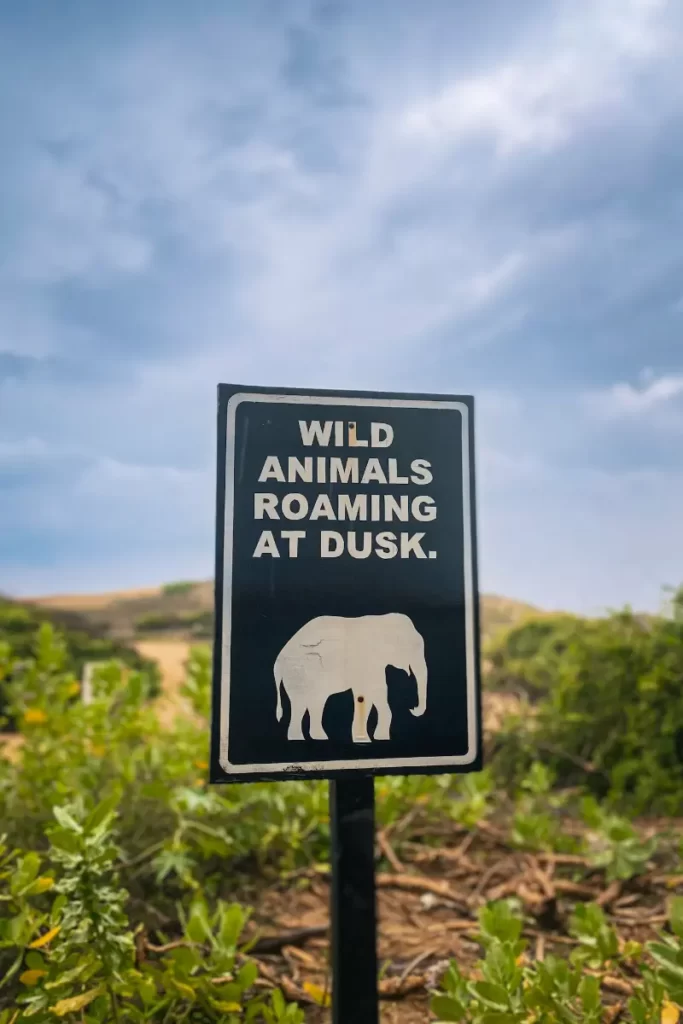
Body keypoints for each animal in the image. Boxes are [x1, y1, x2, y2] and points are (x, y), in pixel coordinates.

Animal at [273, 612, 428, 743]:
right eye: (412, 647)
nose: (412, 708)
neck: (381, 621)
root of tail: (277, 662)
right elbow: (371, 692)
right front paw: (370, 739)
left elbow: (374, 692)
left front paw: (378, 738)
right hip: (297, 672)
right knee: (300, 704)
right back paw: (299, 739)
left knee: (316, 702)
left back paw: (319, 738)